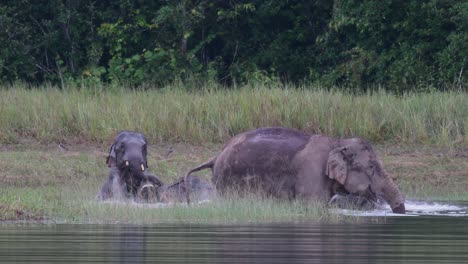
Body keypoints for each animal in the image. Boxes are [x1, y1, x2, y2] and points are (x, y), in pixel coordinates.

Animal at [186, 127, 406, 213]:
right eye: (371, 167)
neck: (337, 142)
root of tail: (216, 156)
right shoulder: (312, 174)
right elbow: (313, 205)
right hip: (227, 179)